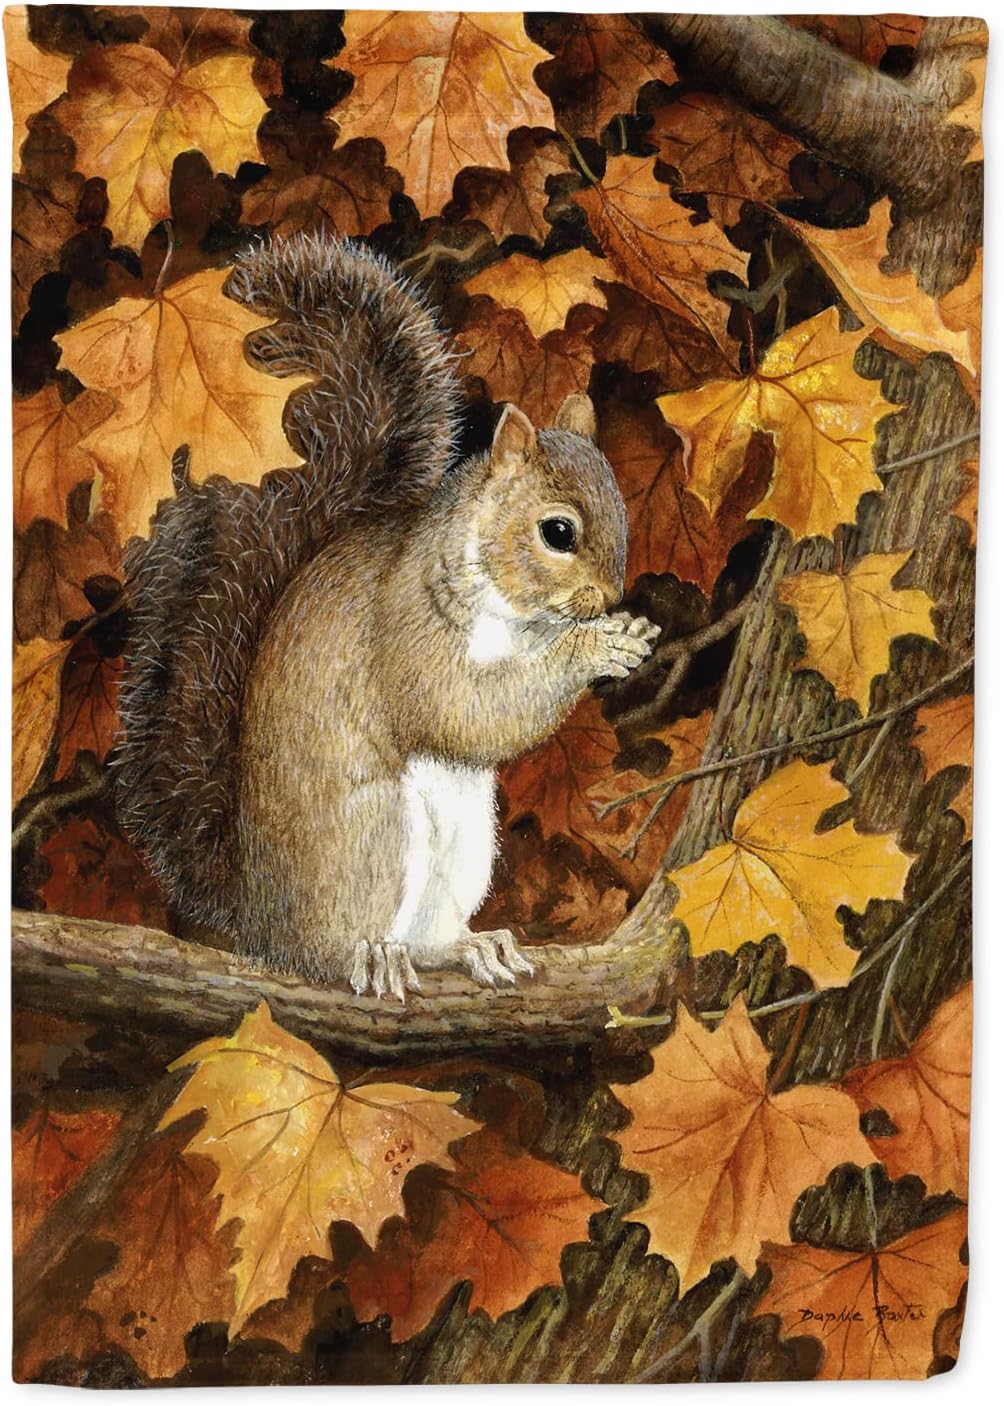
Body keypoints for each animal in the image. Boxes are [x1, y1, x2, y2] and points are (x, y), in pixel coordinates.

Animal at [115, 233, 659, 999]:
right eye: (558, 532)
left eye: (623, 509)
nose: (608, 600)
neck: (512, 615)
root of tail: (259, 922)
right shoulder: (407, 625)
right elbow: (460, 709)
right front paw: (593, 649)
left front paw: (627, 636)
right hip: (369, 837)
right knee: (330, 947)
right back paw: (368, 955)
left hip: (464, 844)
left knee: (428, 937)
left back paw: (471, 947)